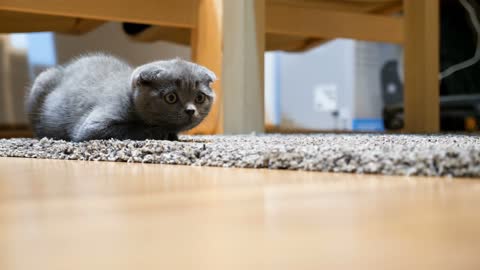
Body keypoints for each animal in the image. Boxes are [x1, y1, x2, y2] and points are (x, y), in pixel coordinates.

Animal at [24, 52, 216, 141]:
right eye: (171, 98)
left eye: (200, 98)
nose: (190, 110)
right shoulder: (93, 126)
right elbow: (132, 129)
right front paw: (160, 132)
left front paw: (173, 136)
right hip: (42, 80)